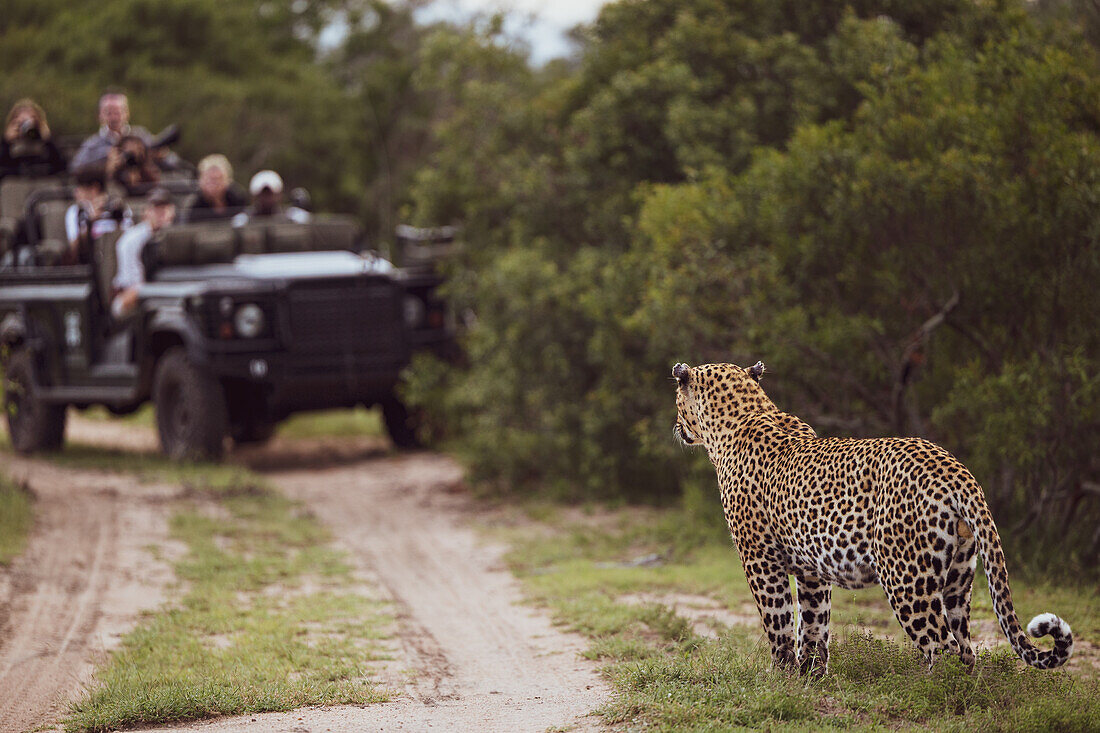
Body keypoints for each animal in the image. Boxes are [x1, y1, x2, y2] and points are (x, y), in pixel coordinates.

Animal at [668, 356, 1073, 669]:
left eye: (676, 399)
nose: (676, 426)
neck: (744, 414)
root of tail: (956, 470)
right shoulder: (812, 572)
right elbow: (813, 625)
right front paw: (809, 677)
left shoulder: (760, 561)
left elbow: (779, 623)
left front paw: (780, 676)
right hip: (959, 576)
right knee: (966, 649)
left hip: (907, 578)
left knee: (941, 646)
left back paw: (926, 694)